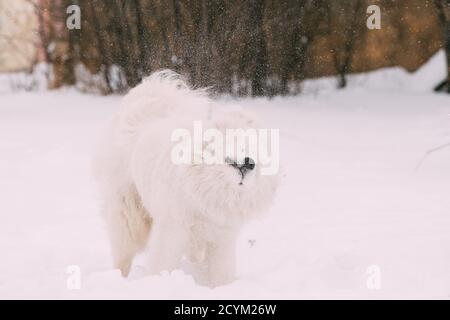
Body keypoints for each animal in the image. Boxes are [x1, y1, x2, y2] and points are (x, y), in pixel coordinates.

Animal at [93, 70, 280, 288]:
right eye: (223, 143)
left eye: (253, 144)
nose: (245, 163)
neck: (207, 193)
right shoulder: (172, 233)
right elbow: (162, 266)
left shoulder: (221, 240)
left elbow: (220, 274)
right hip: (129, 218)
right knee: (122, 256)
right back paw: (117, 280)